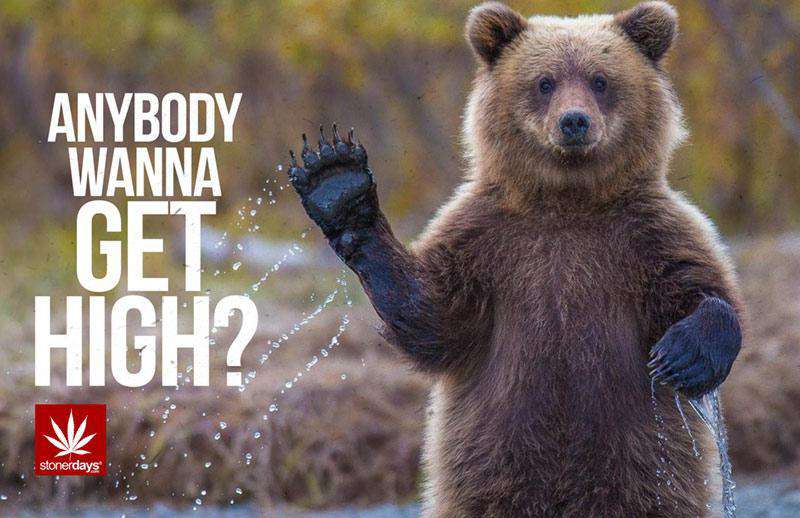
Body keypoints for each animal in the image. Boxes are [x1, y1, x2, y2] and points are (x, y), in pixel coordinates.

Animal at [285, 1, 743, 516]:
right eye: (544, 82)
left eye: (600, 79)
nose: (574, 122)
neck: (568, 201)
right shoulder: (488, 240)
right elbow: (434, 315)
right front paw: (337, 182)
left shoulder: (647, 234)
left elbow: (697, 285)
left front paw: (683, 354)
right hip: (492, 460)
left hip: (645, 461)